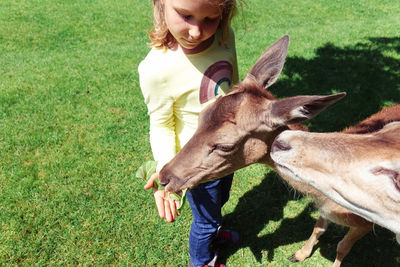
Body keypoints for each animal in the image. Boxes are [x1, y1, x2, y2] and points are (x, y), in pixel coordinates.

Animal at [157, 34, 372, 266]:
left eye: (225, 145)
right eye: (201, 116)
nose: (164, 177)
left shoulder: (366, 223)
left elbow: (342, 247)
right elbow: (318, 228)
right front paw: (298, 254)